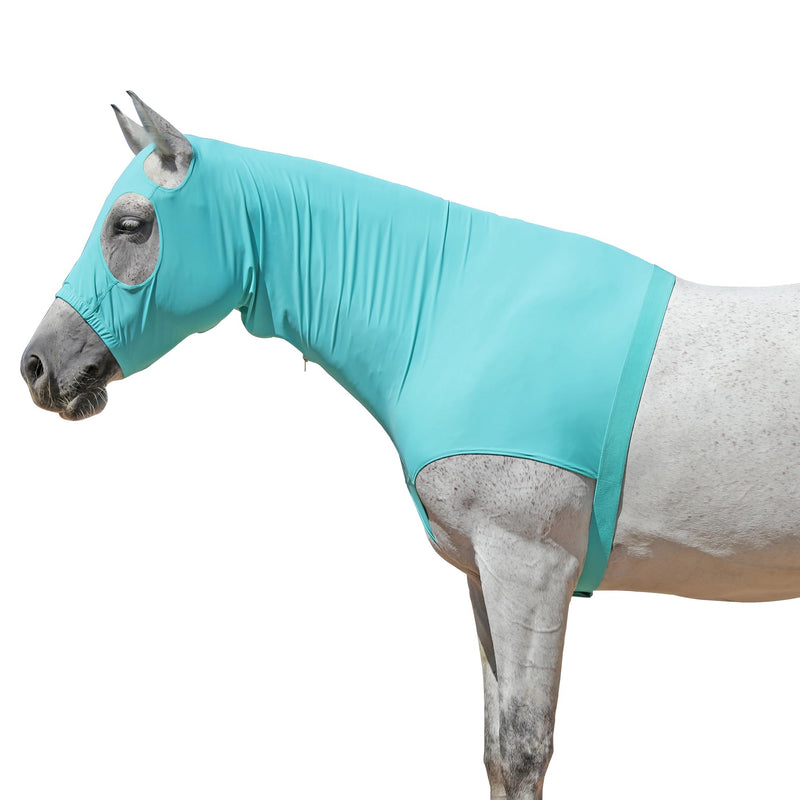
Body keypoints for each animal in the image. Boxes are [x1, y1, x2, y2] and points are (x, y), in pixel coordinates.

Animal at [21, 93, 800, 800]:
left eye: (130, 224)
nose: (38, 366)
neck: (454, 312)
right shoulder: (485, 573)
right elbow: (494, 751)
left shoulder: (532, 567)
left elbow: (525, 750)